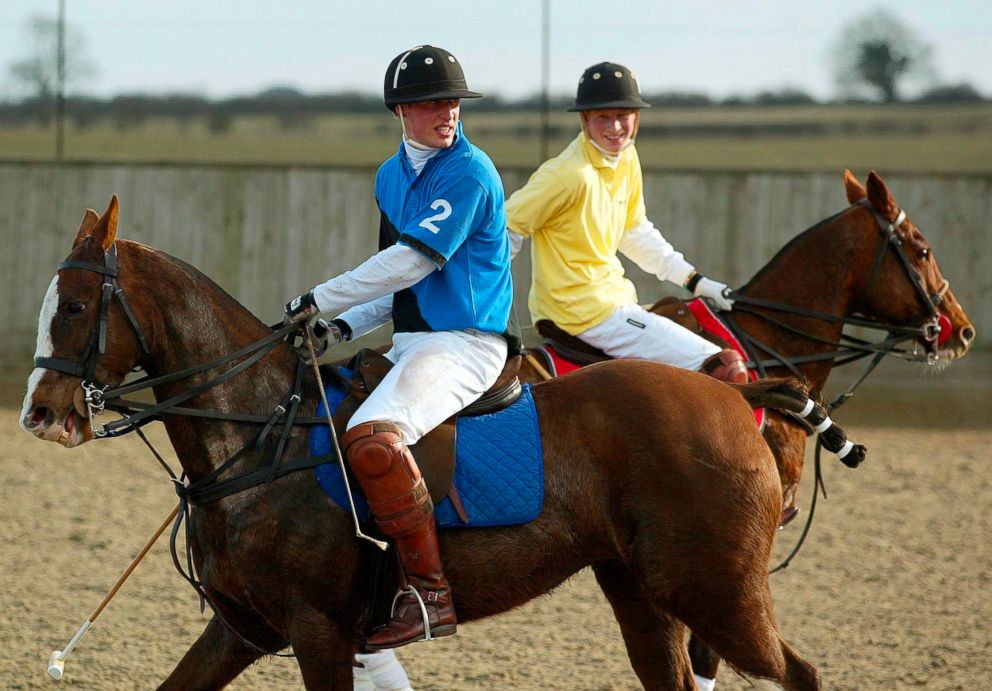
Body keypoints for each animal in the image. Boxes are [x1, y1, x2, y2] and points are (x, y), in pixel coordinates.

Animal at [19, 197, 864, 688]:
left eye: (77, 304)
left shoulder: (320, 630)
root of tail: (735, 392)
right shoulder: (241, 629)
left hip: (717, 588)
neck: (257, 437)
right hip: (645, 592)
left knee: (799, 674)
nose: (41, 413)